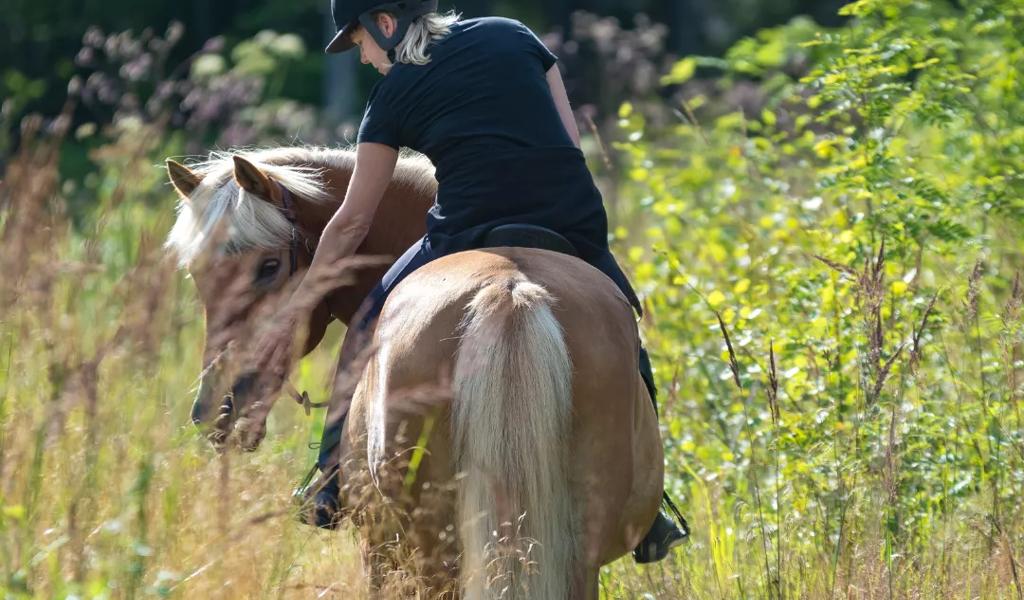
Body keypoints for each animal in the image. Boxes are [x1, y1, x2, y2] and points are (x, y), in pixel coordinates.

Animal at [165, 146, 663, 597]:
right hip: (569, 553)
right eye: (197, 274)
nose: (217, 410)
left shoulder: (379, 548)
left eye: (268, 267)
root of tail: (509, 291)